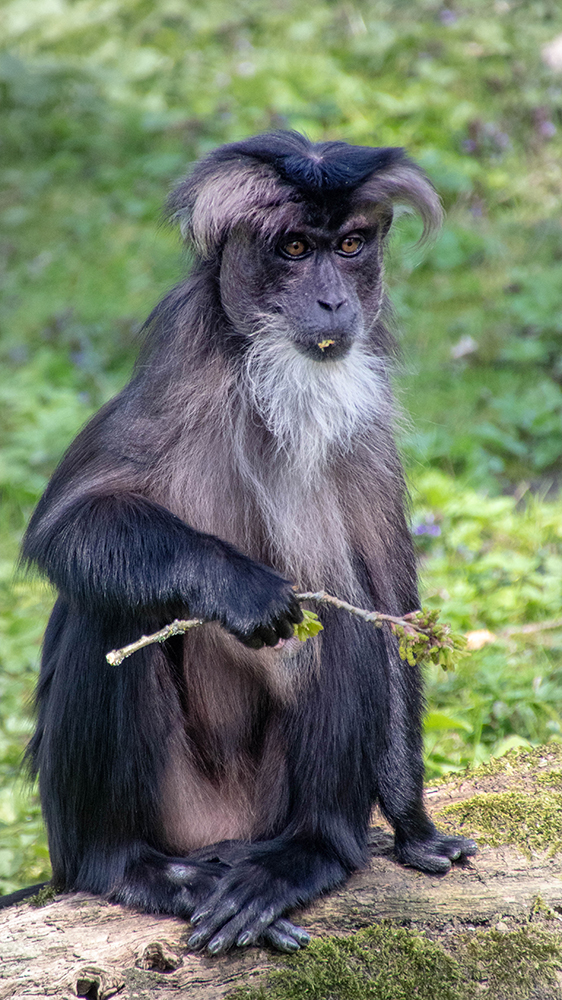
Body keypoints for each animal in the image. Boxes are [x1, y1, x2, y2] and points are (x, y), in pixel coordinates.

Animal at [24, 131, 474, 952]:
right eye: (294, 248)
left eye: (350, 245)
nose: (333, 301)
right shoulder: (178, 360)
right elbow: (71, 522)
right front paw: (236, 585)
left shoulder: (365, 417)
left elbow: (386, 601)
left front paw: (416, 828)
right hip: (164, 813)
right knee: (112, 606)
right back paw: (134, 871)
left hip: (267, 804)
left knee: (343, 619)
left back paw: (309, 854)